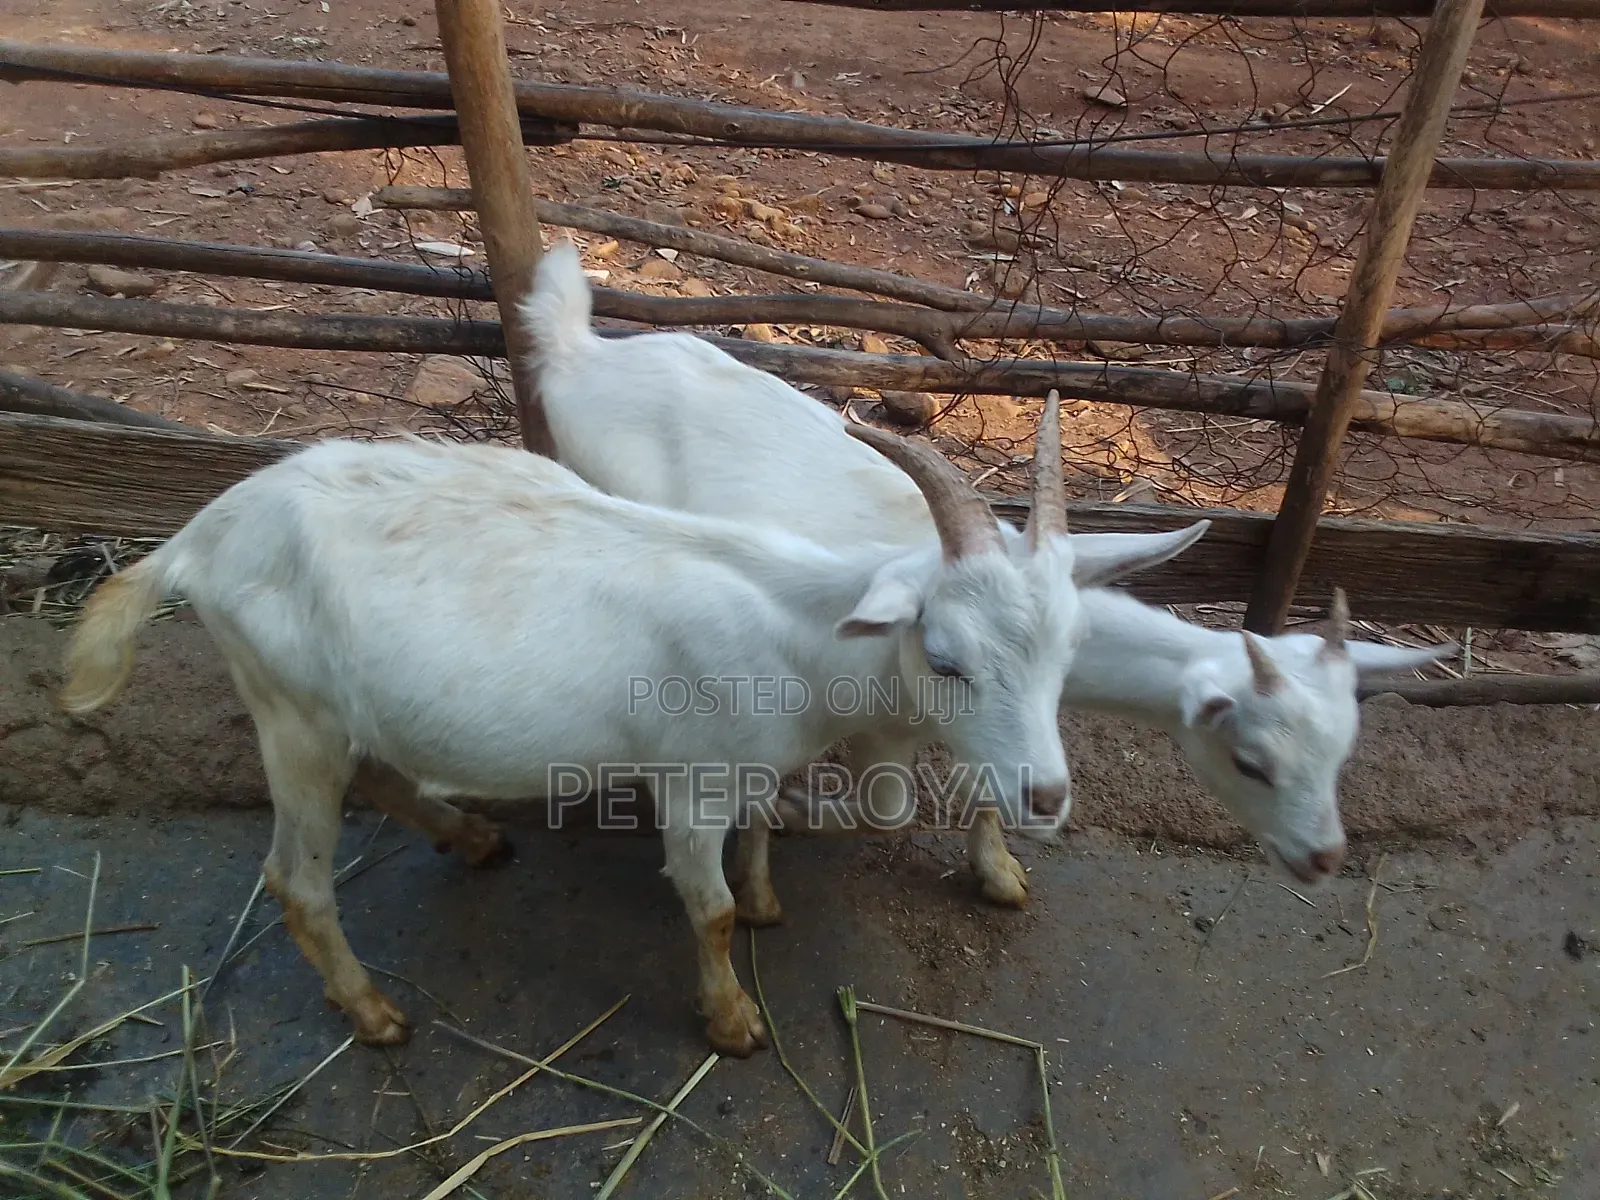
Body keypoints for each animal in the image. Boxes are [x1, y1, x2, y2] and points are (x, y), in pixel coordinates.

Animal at [60, 407, 1169, 1055]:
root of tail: (198, 537)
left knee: (378, 773)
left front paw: (767, 901)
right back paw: (373, 1014)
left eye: (1069, 647)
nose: (1046, 797)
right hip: (289, 711)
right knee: (296, 880)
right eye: (943, 657)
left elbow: (756, 842)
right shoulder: (689, 778)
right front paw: (733, 1021)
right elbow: (704, 907)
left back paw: (473, 838)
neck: (800, 635)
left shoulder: (749, 763)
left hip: (331, 710)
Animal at [516, 239, 1454, 910]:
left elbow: (988, 777)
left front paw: (999, 867)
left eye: (1344, 751)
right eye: (1252, 761)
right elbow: (886, 808)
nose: (1323, 857)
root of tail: (579, 350)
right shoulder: (879, 717)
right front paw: (780, 832)